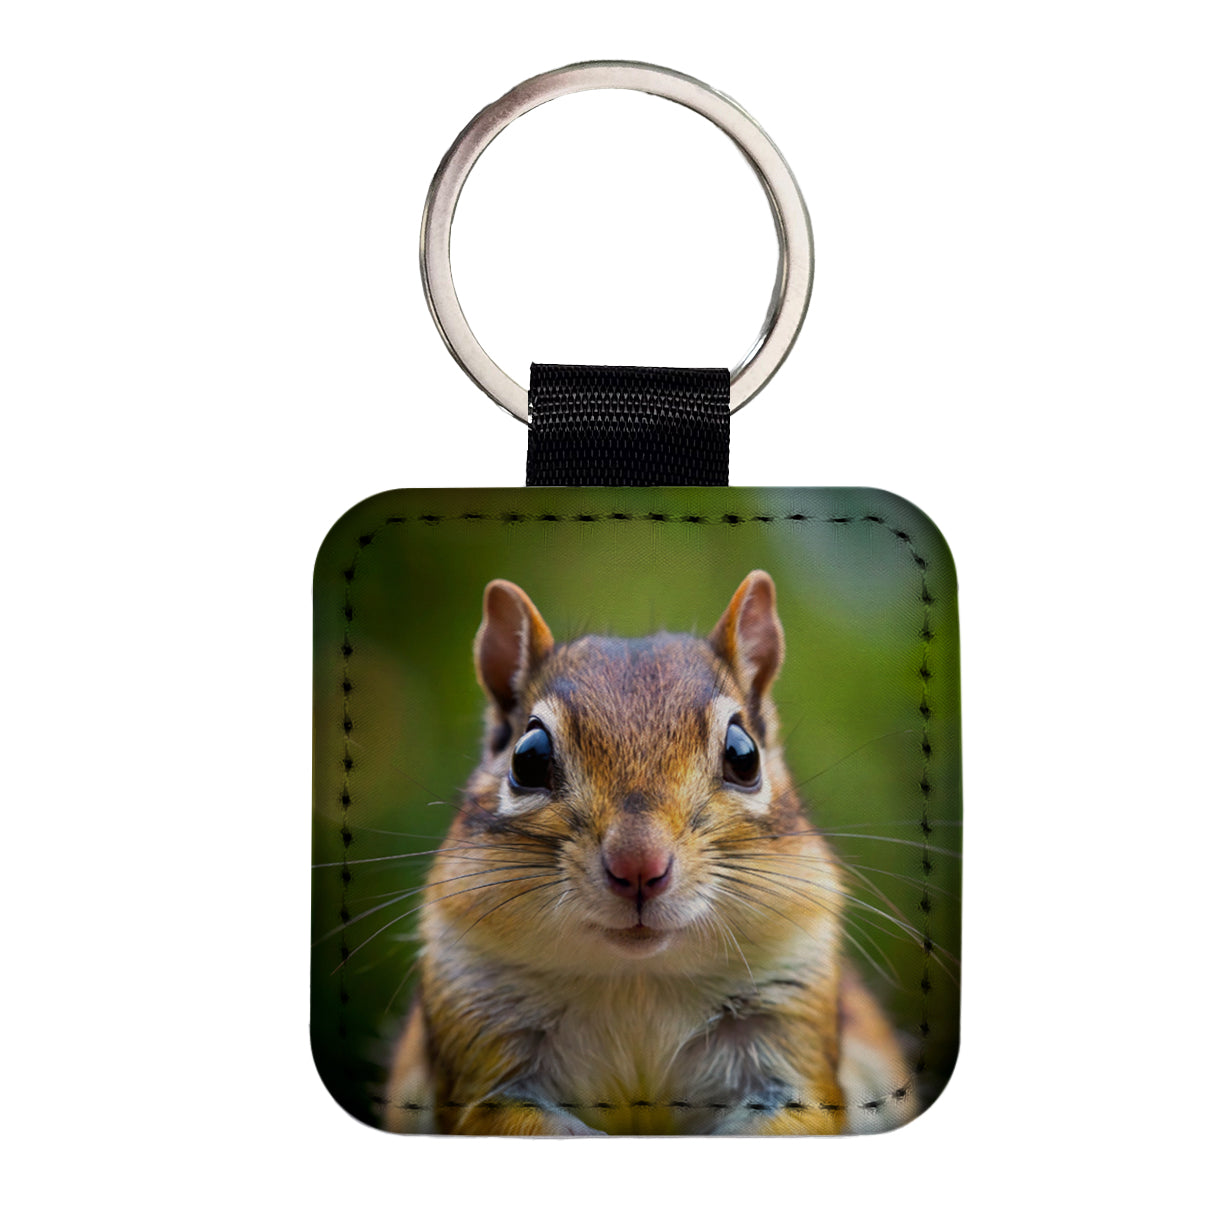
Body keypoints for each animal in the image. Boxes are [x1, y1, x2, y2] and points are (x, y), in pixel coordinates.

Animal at [386, 571, 917, 1135]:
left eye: (744, 755)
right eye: (527, 759)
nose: (638, 866)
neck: (636, 980)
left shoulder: (790, 1023)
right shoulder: (483, 1041)